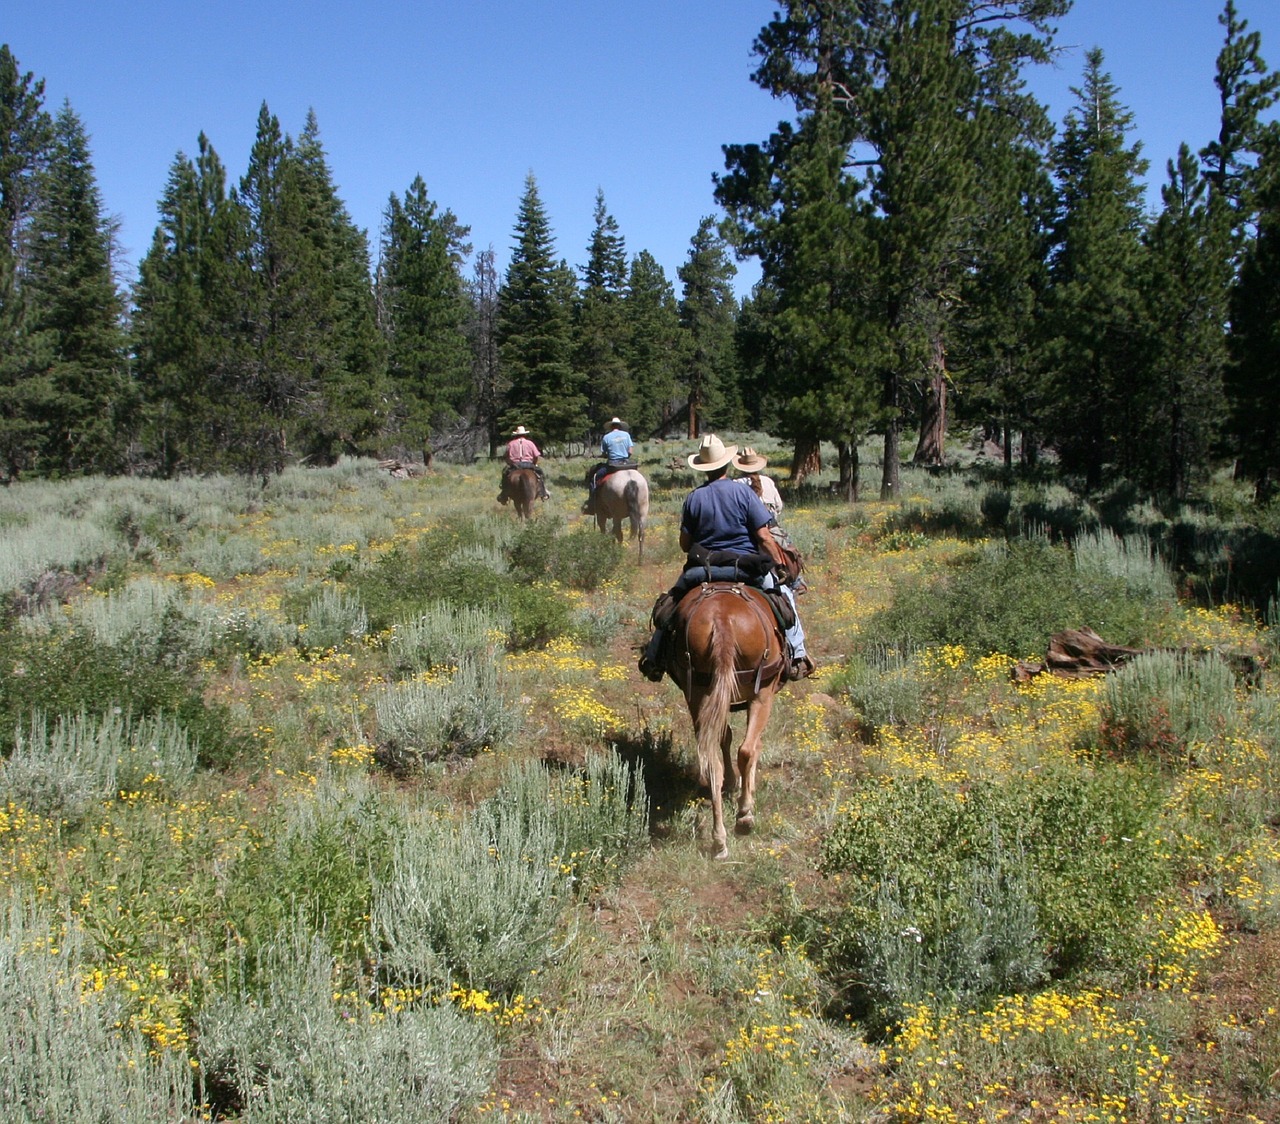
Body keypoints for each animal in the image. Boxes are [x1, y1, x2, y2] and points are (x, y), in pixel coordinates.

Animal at [670, 586, 788, 860]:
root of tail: (722, 619)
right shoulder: (761, 696)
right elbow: (753, 747)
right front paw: (747, 794)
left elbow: (726, 739)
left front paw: (734, 783)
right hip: (761, 693)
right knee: (746, 750)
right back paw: (744, 817)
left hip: (698, 695)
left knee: (713, 763)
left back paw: (719, 841)